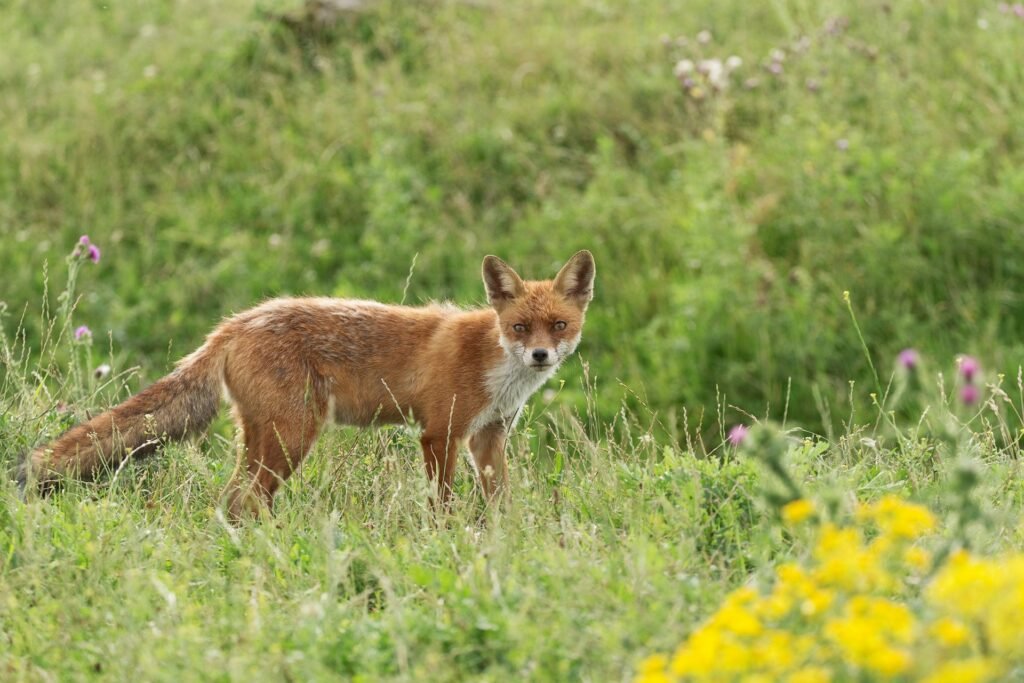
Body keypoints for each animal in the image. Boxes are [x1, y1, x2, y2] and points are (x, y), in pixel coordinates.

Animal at [19, 250, 598, 518]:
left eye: (559, 326)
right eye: (520, 327)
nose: (541, 356)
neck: (497, 367)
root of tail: (232, 324)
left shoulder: (489, 435)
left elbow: (500, 502)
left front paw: (501, 541)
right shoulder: (440, 432)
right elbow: (442, 504)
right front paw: (447, 540)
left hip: (267, 438)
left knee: (232, 500)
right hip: (293, 436)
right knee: (243, 500)